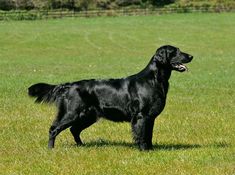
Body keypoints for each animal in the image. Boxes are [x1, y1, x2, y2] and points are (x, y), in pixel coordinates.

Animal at [28, 45, 193, 150]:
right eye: (175, 51)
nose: (191, 56)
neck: (154, 79)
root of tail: (69, 85)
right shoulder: (141, 116)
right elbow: (141, 135)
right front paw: (143, 150)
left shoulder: (150, 117)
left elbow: (148, 134)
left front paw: (151, 149)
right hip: (71, 113)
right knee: (53, 129)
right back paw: (51, 149)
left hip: (88, 116)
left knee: (74, 130)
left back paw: (81, 146)